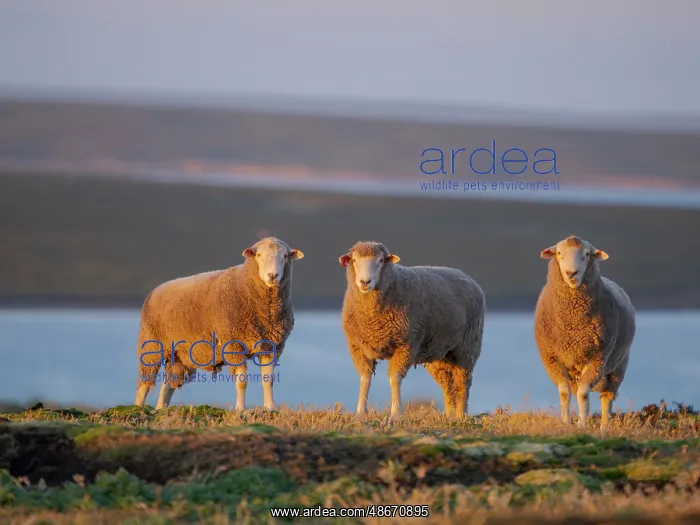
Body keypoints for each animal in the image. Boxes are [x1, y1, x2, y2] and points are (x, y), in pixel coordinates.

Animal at [134, 236, 304, 411]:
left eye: (285, 256)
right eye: (259, 255)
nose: (272, 275)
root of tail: (154, 290)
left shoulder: (272, 346)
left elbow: (268, 381)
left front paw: (270, 408)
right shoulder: (234, 345)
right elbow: (242, 382)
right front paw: (240, 409)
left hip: (180, 354)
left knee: (168, 385)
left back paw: (161, 409)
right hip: (152, 345)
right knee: (144, 385)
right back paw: (137, 408)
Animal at [338, 240, 485, 422]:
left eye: (380, 261)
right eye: (354, 260)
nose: (365, 282)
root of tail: (466, 276)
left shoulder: (406, 345)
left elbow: (394, 379)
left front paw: (394, 414)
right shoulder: (357, 347)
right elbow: (365, 379)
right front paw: (360, 413)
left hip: (467, 347)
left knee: (463, 382)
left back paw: (461, 415)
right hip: (440, 353)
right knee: (447, 384)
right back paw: (448, 415)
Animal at [534, 235, 635, 429]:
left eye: (587, 254)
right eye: (559, 253)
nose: (571, 273)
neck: (572, 323)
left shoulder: (597, 358)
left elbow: (583, 395)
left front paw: (582, 424)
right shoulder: (553, 359)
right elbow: (565, 393)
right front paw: (565, 423)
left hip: (618, 367)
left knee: (607, 398)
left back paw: (604, 428)